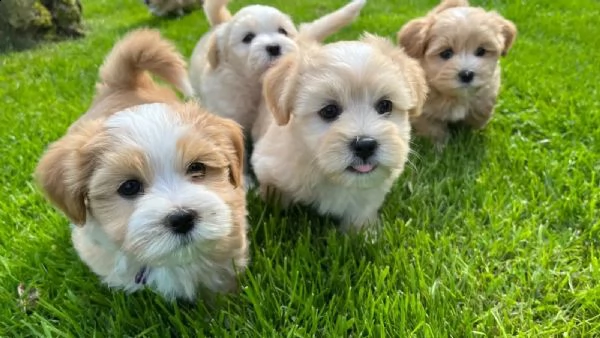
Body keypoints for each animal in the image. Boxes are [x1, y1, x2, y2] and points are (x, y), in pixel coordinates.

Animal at [251, 33, 428, 232]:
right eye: (329, 110)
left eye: (385, 105)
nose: (365, 145)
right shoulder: (268, 167)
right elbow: (275, 196)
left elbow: (361, 212)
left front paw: (362, 232)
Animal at [398, 0, 516, 149]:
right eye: (446, 53)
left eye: (481, 51)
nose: (467, 74)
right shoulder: (424, 111)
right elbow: (432, 128)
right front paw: (439, 147)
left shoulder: (488, 91)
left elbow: (480, 112)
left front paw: (469, 135)